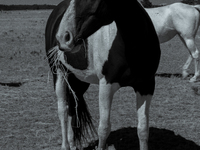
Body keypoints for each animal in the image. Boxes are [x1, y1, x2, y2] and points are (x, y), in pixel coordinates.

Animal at [45, 0, 161, 150]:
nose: (63, 37)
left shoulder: (146, 86)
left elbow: (143, 129)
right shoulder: (106, 86)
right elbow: (104, 128)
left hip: (79, 80)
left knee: (72, 108)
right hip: (59, 73)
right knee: (63, 110)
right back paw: (65, 146)